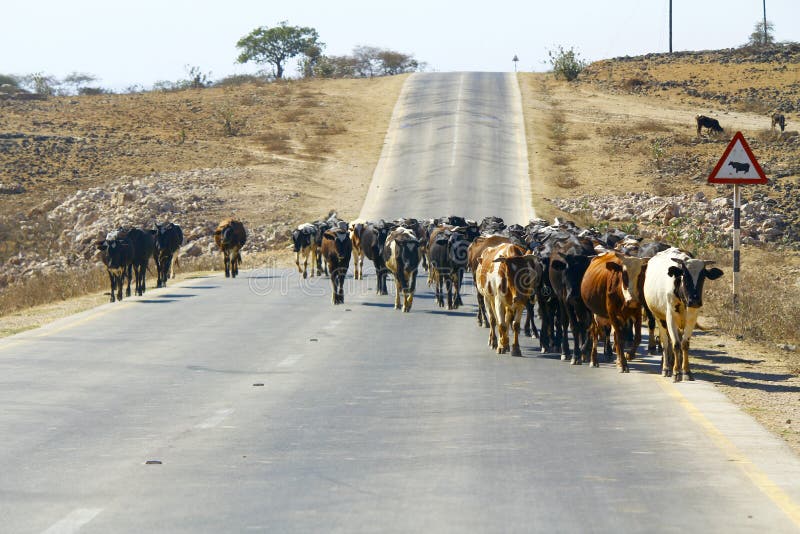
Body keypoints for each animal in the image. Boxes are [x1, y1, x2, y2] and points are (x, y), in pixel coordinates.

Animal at [644, 249, 724, 384]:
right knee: (665, 342)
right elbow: (676, 344)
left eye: (703, 276)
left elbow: (684, 344)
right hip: (659, 317)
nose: (695, 300)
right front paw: (676, 372)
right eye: (685, 275)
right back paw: (666, 368)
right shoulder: (670, 318)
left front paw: (686, 371)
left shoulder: (692, 317)